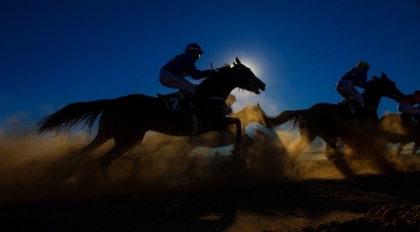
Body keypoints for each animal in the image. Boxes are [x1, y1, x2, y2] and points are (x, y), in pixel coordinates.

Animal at [37, 57, 266, 184]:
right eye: (246, 71)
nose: (262, 84)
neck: (209, 94)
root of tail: (113, 101)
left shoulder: (215, 124)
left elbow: (237, 123)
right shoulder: (212, 124)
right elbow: (237, 123)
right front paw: (239, 146)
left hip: (109, 134)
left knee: (84, 151)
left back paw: (64, 175)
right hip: (128, 138)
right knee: (103, 159)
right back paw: (111, 187)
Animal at [264, 72, 406, 176]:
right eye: (391, 84)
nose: (402, 96)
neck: (367, 105)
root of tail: (306, 110)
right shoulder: (368, 130)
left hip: (310, 135)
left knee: (298, 150)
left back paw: (292, 172)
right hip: (329, 135)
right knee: (328, 154)